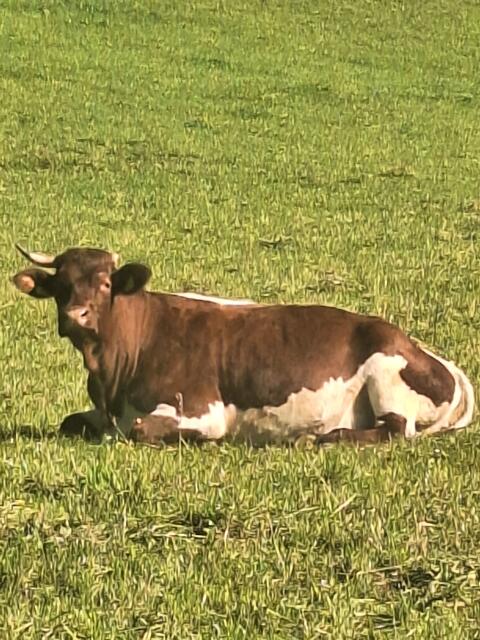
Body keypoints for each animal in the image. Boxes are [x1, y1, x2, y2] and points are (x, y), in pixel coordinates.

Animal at [12, 244, 475, 446]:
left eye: (106, 283)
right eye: (62, 285)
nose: (76, 316)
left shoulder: (204, 409)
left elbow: (143, 428)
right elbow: (69, 422)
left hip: (386, 371)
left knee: (396, 428)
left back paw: (324, 437)